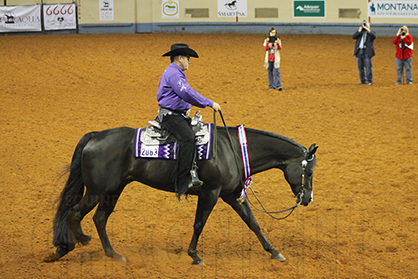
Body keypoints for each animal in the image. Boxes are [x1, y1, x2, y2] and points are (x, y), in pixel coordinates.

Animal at [53, 124, 316, 264]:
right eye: (310, 171)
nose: (307, 199)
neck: (231, 149)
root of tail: (95, 135)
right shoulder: (210, 192)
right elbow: (199, 224)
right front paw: (195, 256)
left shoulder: (231, 194)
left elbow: (253, 222)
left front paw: (274, 252)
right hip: (97, 191)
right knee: (75, 214)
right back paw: (77, 242)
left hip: (113, 190)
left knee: (99, 218)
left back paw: (113, 255)